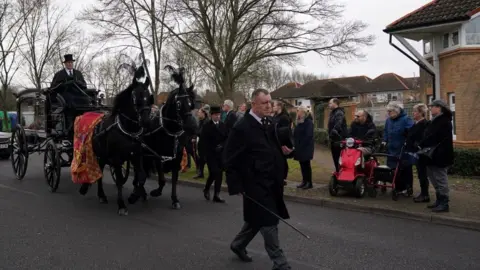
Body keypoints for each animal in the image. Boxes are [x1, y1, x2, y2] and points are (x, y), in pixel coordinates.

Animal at [79, 63, 152, 215]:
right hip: (98, 154)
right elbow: (119, 180)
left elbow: (141, 176)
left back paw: (101, 195)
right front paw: (122, 205)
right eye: (136, 97)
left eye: (148, 97)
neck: (128, 129)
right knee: (98, 173)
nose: (147, 122)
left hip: (103, 156)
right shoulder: (117, 158)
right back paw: (99, 194)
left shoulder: (136, 156)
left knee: (100, 172)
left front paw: (134, 196)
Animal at [129, 65, 197, 209]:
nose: (193, 126)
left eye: (191, 103)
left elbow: (174, 178)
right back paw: (138, 191)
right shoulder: (157, 155)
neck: (168, 129)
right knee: (139, 171)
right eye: (179, 103)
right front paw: (156, 191)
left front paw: (175, 199)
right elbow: (161, 176)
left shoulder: (176, 156)